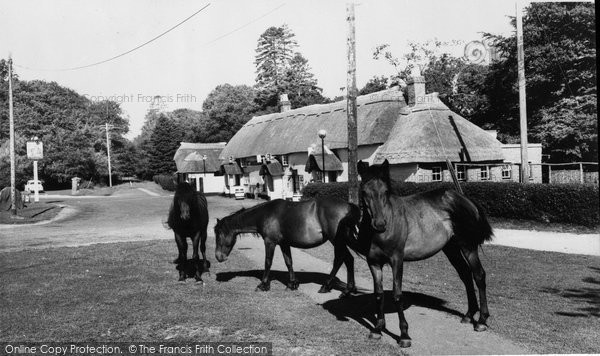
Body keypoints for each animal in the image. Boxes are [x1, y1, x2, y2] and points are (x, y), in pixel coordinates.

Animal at [214, 197, 360, 294]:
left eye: (219, 234)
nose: (218, 257)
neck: (266, 214)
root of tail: (348, 206)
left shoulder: (270, 242)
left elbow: (268, 262)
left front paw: (263, 285)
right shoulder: (284, 244)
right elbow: (288, 262)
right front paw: (292, 284)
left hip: (336, 241)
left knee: (342, 259)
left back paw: (332, 287)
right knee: (347, 259)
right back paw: (347, 289)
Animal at [356, 161, 492, 348]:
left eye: (385, 191)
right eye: (364, 192)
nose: (380, 224)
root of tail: (463, 198)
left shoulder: (397, 260)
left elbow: (397, 295)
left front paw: (404, 335)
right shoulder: (373, 263)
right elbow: (378, 294)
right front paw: (377, 329)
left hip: (468, 246)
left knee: (478, 275)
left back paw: (481, 321)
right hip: (451, 249)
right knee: (465, 275)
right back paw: (469, 315)